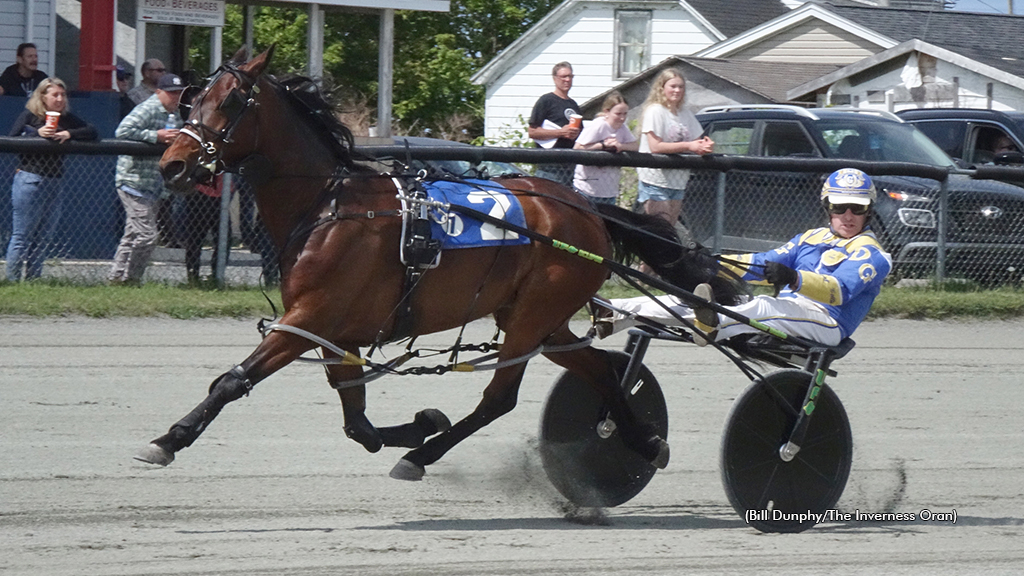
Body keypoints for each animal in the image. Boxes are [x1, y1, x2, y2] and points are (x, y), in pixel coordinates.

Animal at [140, 47, 741, 479]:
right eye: (191, 100)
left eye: (230, 101)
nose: (172, 165)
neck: (330, 207)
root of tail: (585, 208)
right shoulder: (333, 330)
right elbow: (358, 422)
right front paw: (420, 423)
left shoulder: (308, 319)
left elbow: (233, 380)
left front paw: (168, 439)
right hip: (540, 318)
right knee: (597, 371)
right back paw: (643, 439)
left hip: (533, 316)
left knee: (500, 398)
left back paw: (423, 458)